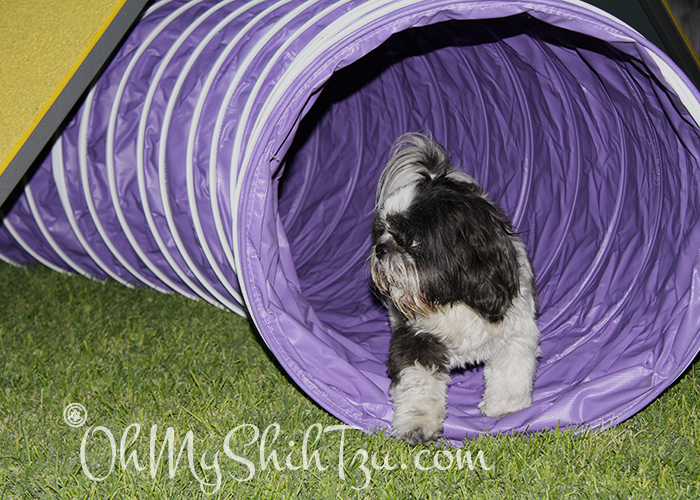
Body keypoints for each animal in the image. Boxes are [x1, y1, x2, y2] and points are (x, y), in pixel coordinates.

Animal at [372, 133, 540, 446]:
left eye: (411, 240)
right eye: (382, 231)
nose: (380, 248)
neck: (452, 295)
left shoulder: (516, 328)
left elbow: (511, 372)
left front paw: (506, 410)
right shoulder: (416, 337)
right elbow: (419, 382)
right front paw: (418, 423)